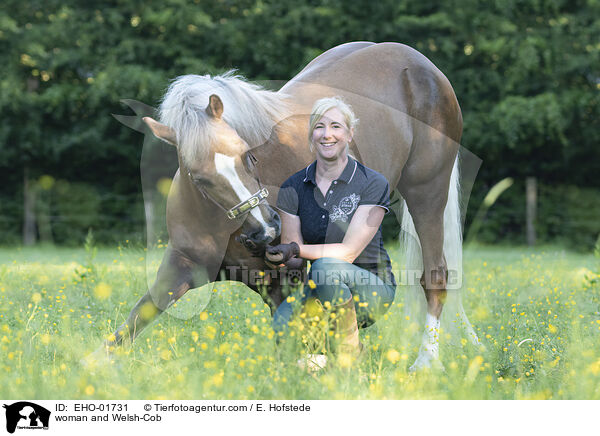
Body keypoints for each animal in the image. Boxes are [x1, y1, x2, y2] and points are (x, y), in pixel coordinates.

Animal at [92, 41, 478, 370]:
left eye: (248, 156)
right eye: (198, 178)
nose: (267, 230)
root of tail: (418, 62)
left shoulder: (286, 281)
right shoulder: (182, 267)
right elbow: (128, 328)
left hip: (427, 194)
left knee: (435, 275)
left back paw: (427, 361)